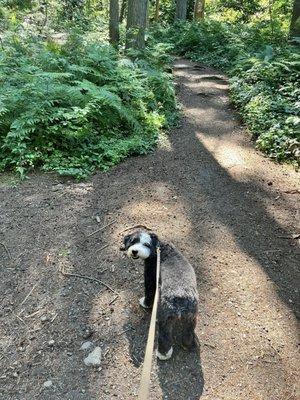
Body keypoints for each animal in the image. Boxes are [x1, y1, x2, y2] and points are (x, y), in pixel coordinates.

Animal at [119, 230, 199, 360]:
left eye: (146, 244)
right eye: (133, 241)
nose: (134, 251)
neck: (158, 249)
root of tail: (181, 297)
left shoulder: (150, 276)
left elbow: (149, 292)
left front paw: (145, 303)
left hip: (165, 318)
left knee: (165, 337)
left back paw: (162, 354)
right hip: (191, 317)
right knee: (188, 332)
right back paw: (189, 344)